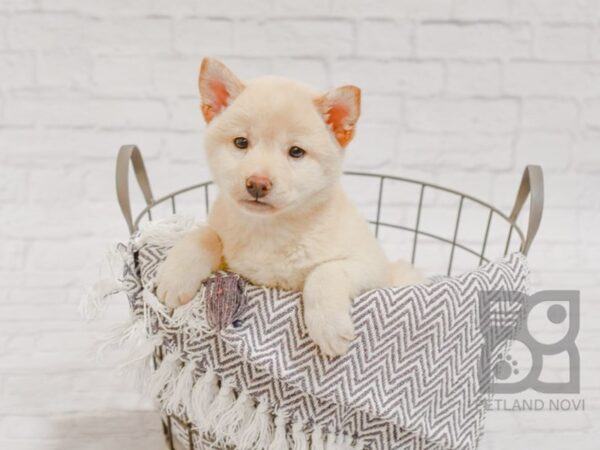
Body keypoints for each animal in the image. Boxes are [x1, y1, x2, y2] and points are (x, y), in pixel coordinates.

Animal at [157, 58, 424, 356]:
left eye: (296, 152)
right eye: (241, 142)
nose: (257, 184)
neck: (270, 231)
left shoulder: (372, 267)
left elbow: (325, 272)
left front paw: (328, 325)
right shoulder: (232, 258)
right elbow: (205, 235)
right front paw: (176, 275)